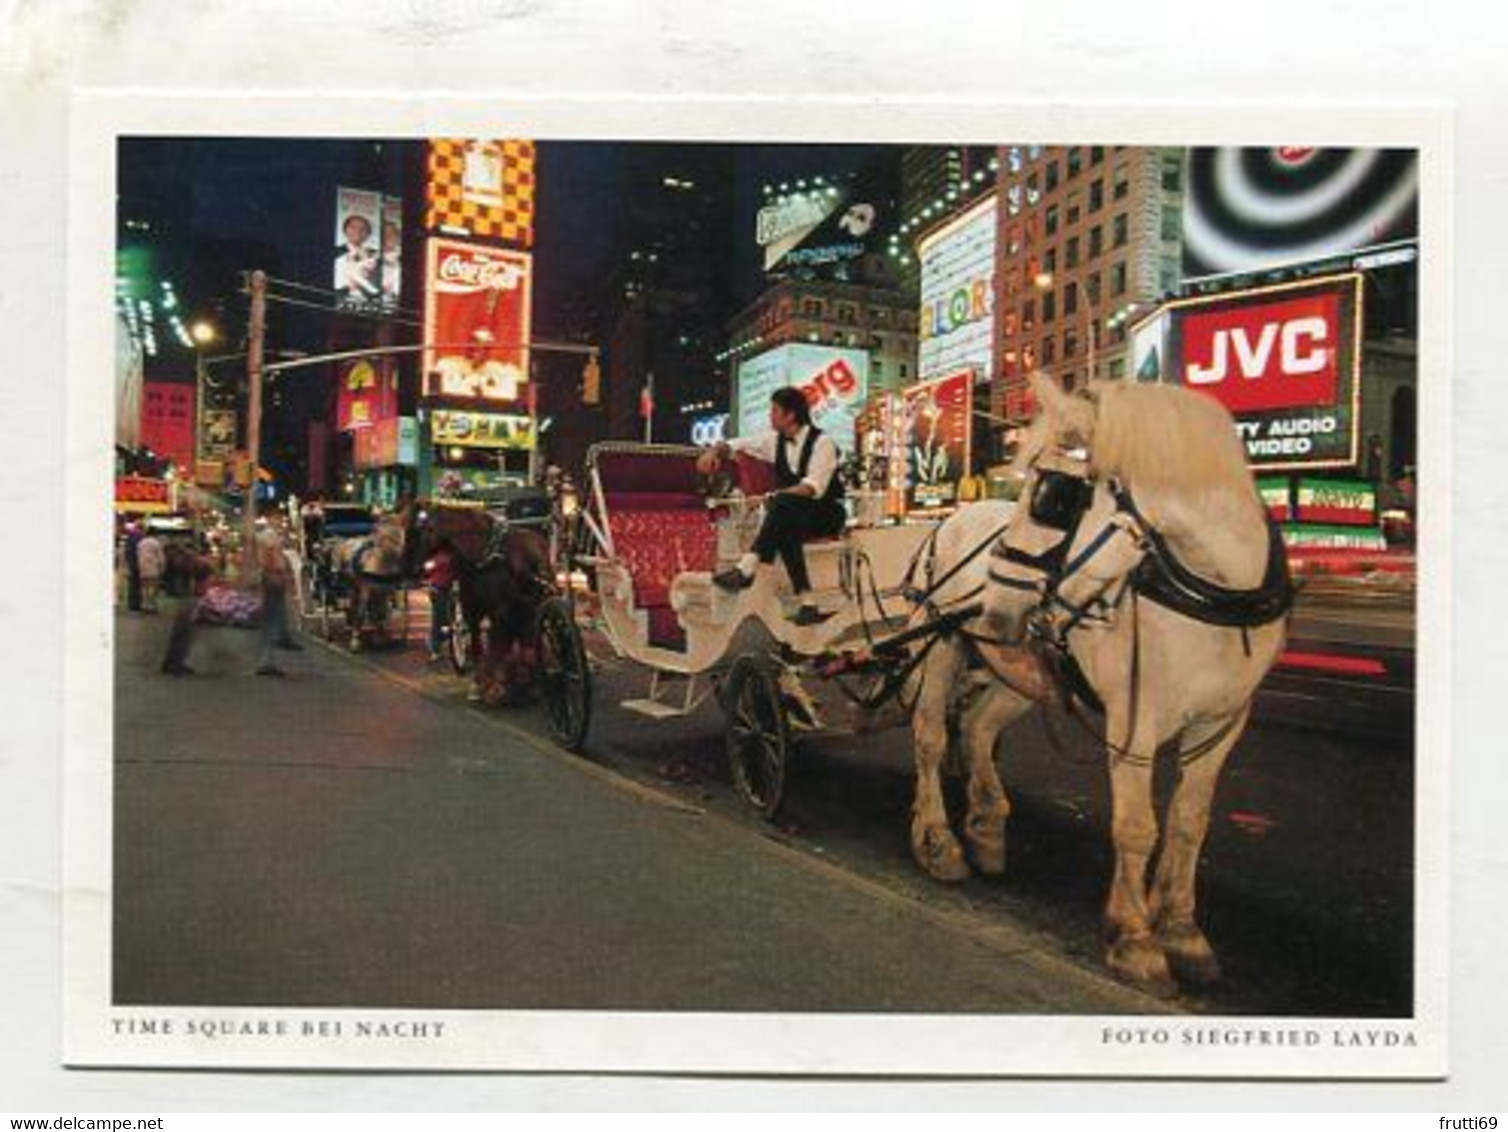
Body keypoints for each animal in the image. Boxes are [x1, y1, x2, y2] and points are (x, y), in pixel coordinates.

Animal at [407, 503, 554, 699]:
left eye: (428, 528)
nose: (415, 568)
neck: (483, 557)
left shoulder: (500, 610)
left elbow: (498, 646)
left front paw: (496, 685)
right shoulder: (471, 609)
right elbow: (479, 647)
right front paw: (477, 685)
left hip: (529, 608)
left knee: (523, 640)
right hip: (524, 609)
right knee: (521, 639)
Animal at [898, 372, 1290, 988]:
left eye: (1051, 496)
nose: (995, 608)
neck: (1216, 592)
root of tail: (951, 519)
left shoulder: (1223, 723)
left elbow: (1189, 821)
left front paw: (1181, 929)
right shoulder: (1136, 718)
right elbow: (1136, 826)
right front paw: (1133, 937)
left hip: (1019, 674)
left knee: (980, 729)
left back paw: (985, 825)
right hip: (939, 643)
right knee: (932, 737)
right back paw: (938, 840)